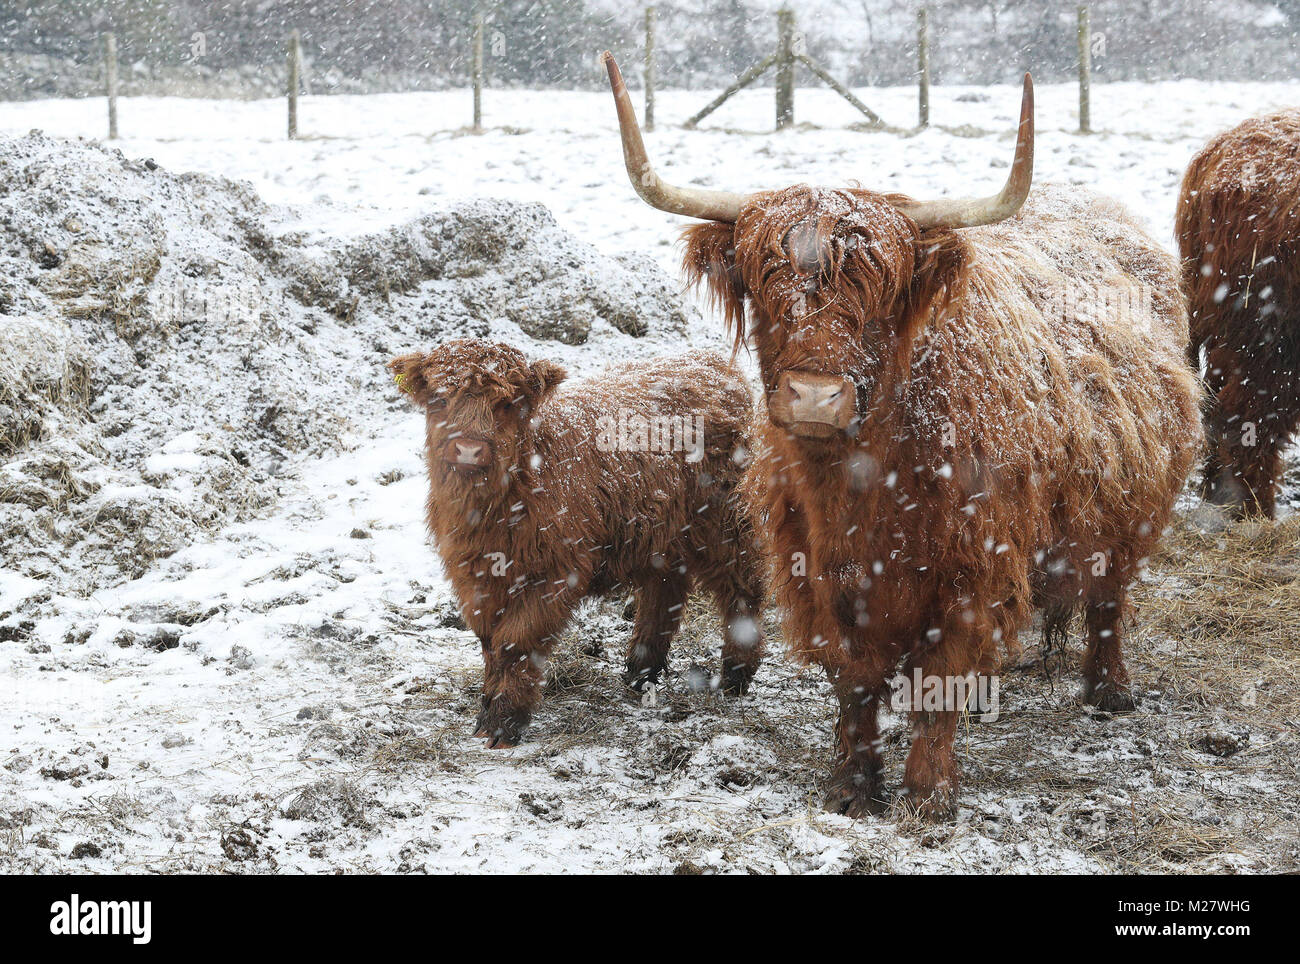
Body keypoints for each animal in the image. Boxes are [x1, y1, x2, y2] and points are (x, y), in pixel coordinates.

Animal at [390, 340, 764, 748]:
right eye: (441, 398)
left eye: (507, 403)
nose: (470, 449)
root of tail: (711, 362)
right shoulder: (473, 575)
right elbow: (490, 641)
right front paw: (486, 712)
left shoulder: (554, 571)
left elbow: (516, 642)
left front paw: (504, 723)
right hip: (660, 530)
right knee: (664, 589)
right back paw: (640, 672)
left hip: (723, 520)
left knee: (742, 586)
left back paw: (735, 675)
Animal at [603, 52, 1201, 821]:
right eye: (767, 291)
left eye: (877, 298)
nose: (815, 397)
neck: (864, 486)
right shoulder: (816, 566)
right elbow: (854, 678)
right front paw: (852, 786)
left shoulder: (974, 564)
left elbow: (940, 676)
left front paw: (929, 792)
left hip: (1128, 507)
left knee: (1108, 595)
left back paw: (1109, 690)